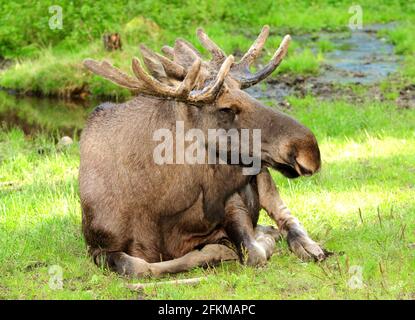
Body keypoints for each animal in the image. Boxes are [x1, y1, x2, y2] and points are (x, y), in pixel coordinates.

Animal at [80, 25, 328, 278]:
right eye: (226, 108)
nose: (310, 150)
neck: (160, 205)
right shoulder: (97, 246)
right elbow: (137, 266)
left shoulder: (233, 204)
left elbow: (253, 252)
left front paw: (238, 245)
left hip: (261, 174)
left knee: (287, 217)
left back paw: (306, 245)